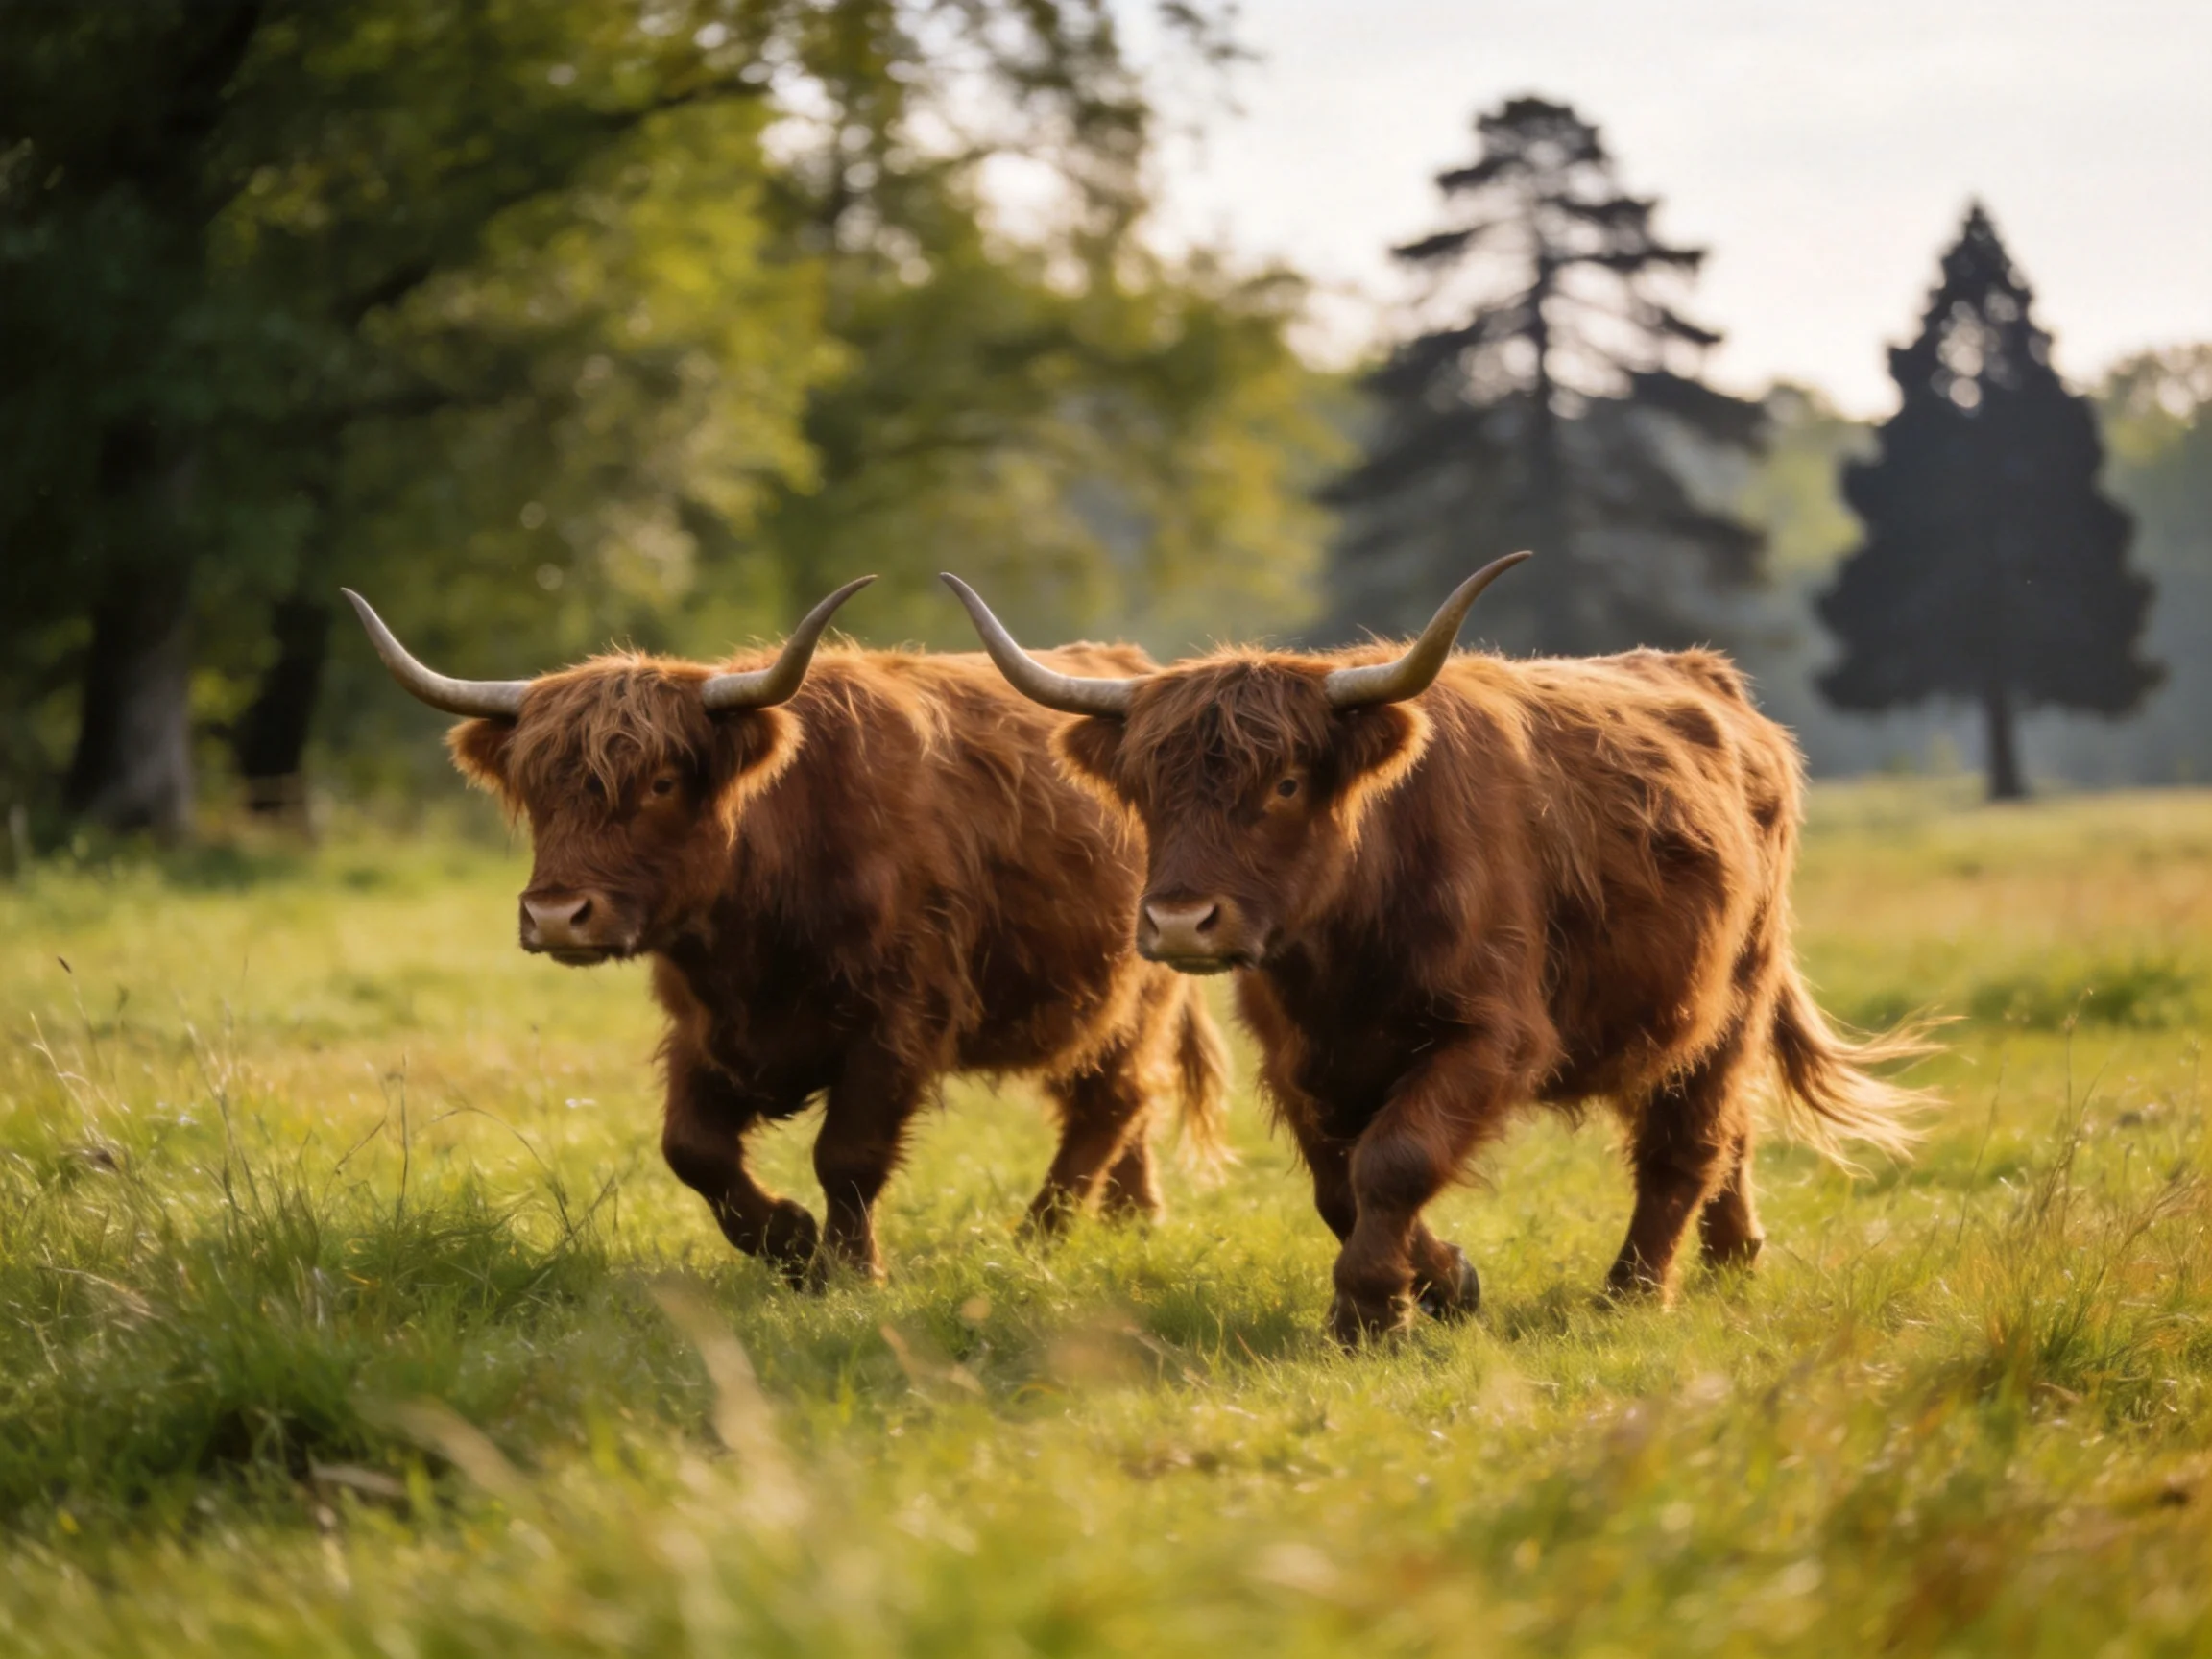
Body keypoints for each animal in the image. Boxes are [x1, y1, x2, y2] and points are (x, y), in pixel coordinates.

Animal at [343, 580, 1228, 1287]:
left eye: (661, 782)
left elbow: (848, 1155)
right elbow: (692, 1150)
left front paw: (849, 1270)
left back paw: (1039, 1236)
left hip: (1141, 985)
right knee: (1114, 1103)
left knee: (1114, 1099)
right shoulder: (704, 1030)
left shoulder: (898, 1022)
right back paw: (1133, 1218)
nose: (559, 914)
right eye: (536, 791)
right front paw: (792, 1244)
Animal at [943, 556, 1929, 1343]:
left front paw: (1372, 1312)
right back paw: (1734, 1258)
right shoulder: (1299, 1061)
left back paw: (1634, 1292)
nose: (1182, 921)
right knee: (1725, 1133)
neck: (1346, 952)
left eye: (1288, 783)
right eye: (1147, 789)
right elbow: (1341, 1184)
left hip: (1731, 999)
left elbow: (1397, 1158)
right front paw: (1444, 1280)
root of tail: (1711, 681)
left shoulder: (1494, 1035)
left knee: (1687, 1140)